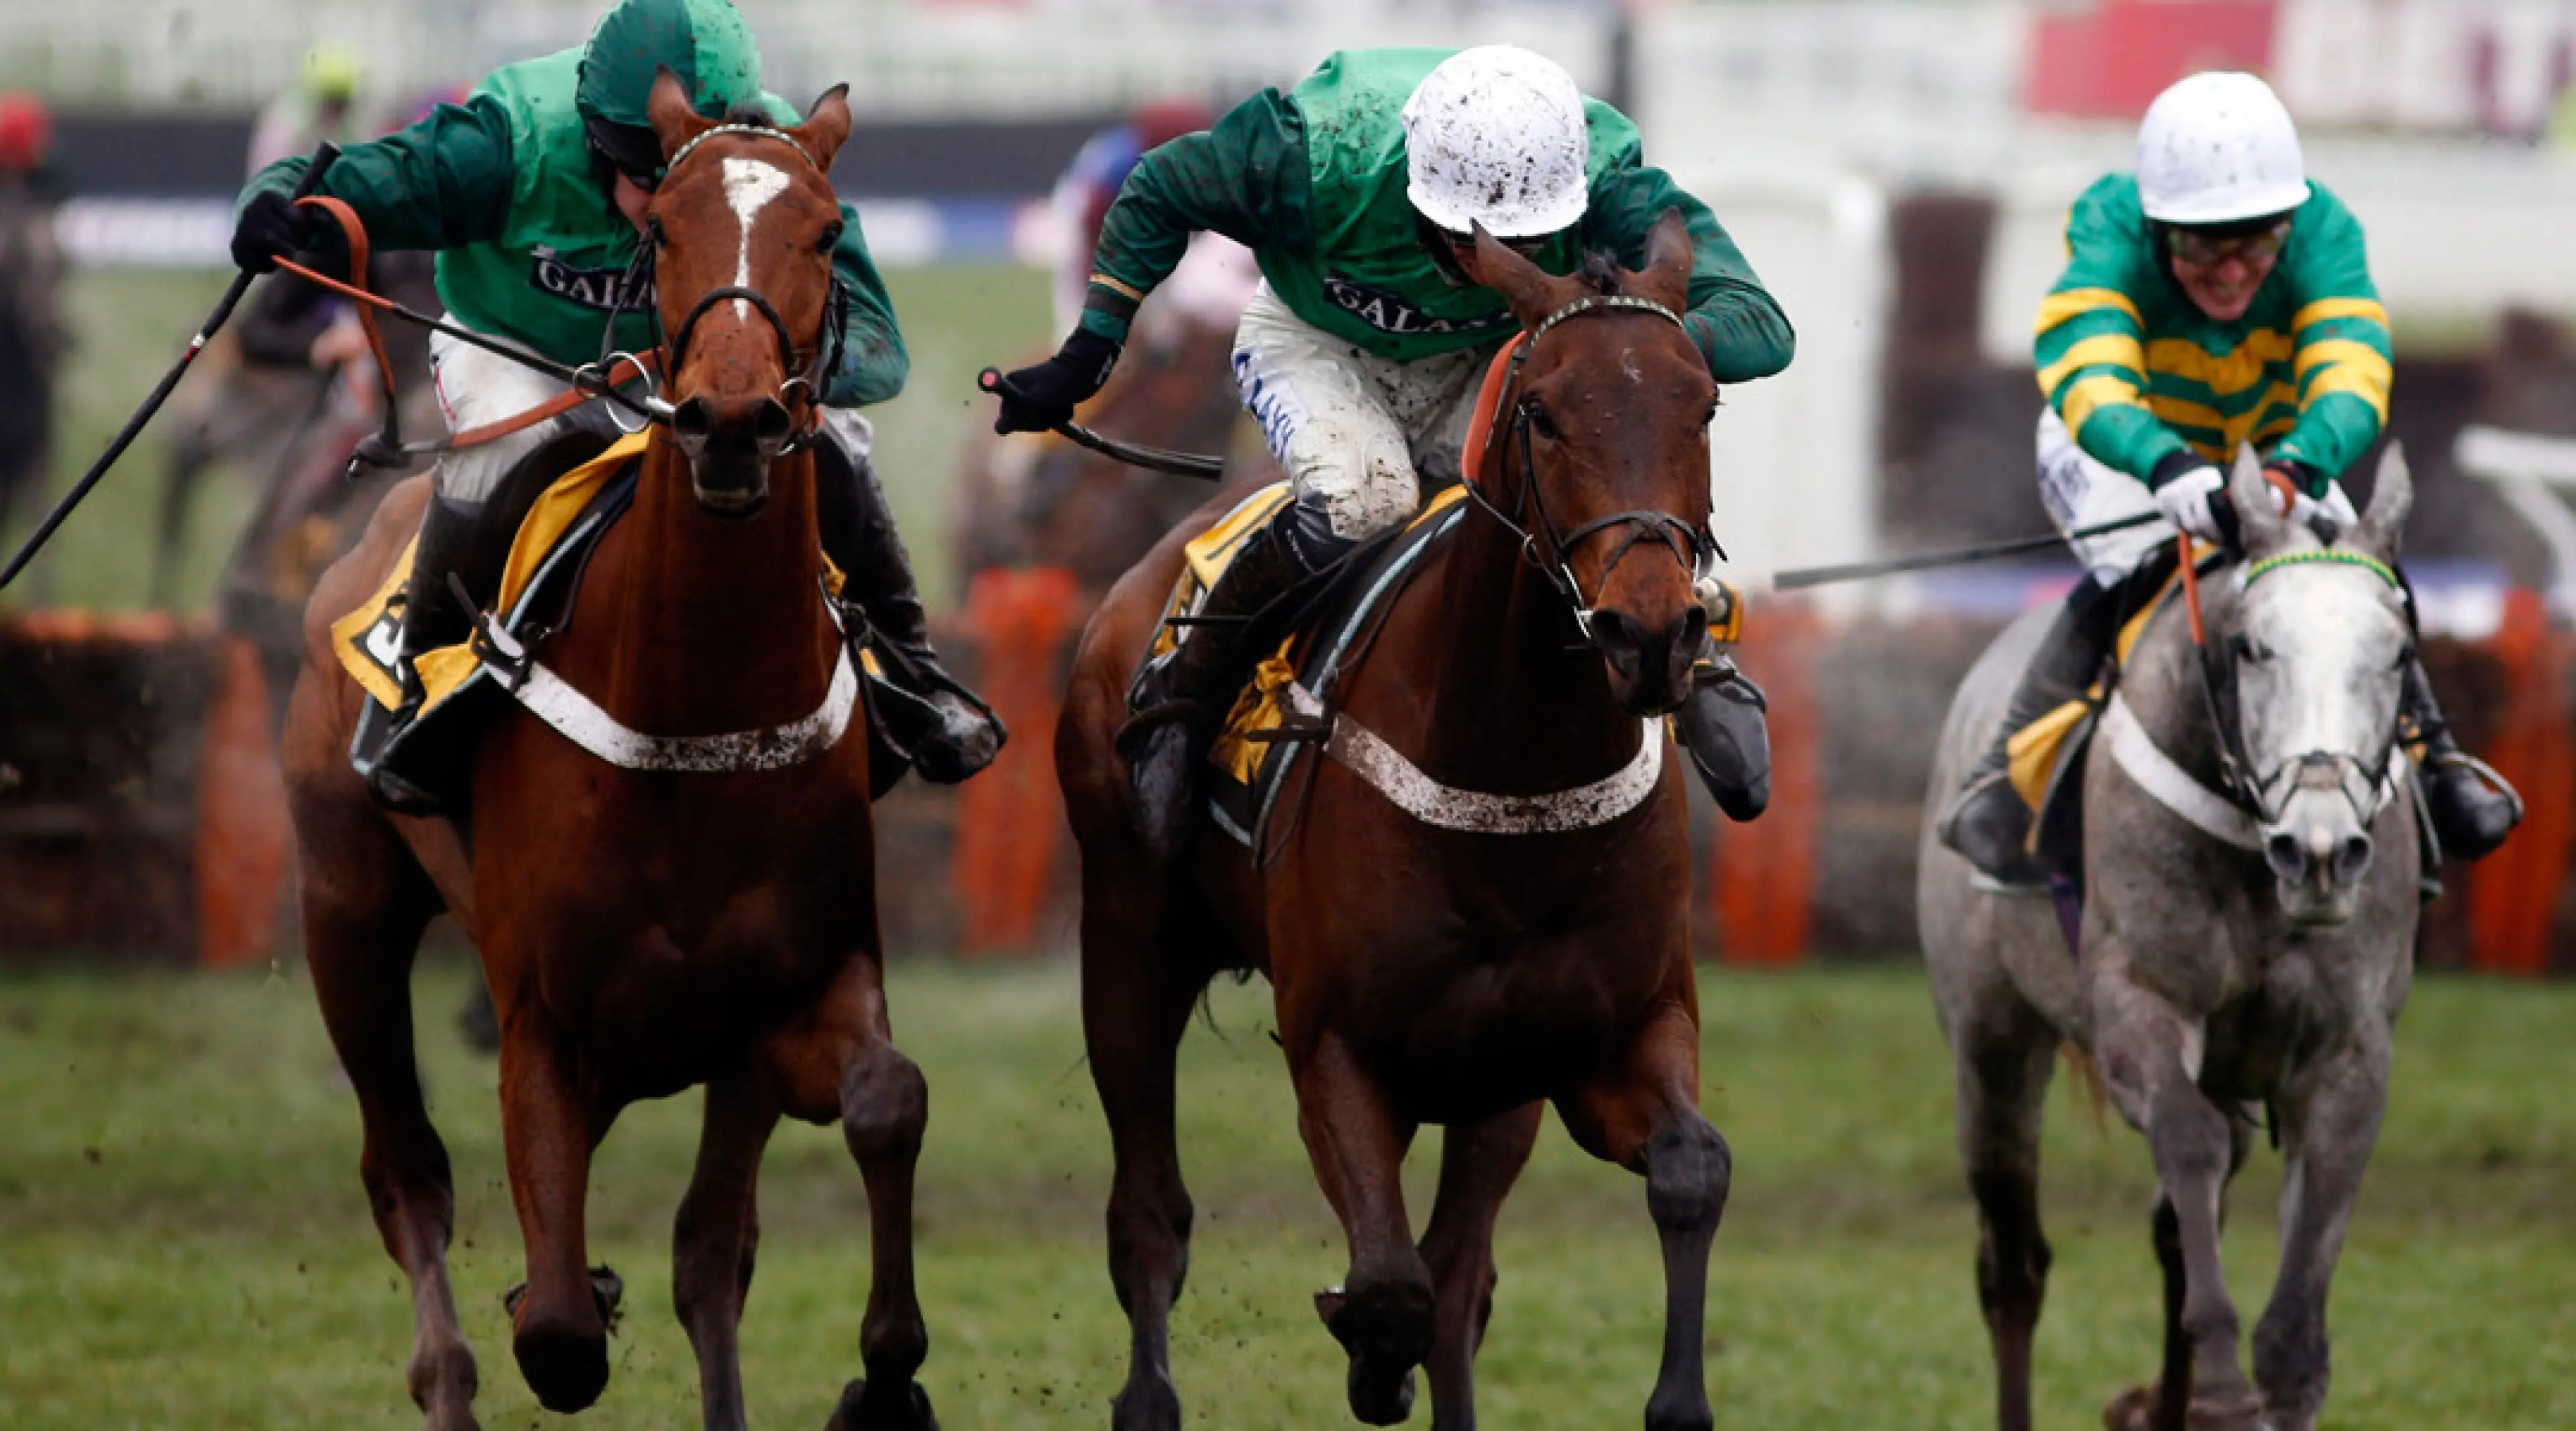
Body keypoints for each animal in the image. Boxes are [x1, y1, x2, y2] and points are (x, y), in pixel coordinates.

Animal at [284, 75, 948, 1431]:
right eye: (667, 231)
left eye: (824, 232)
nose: (733, 420)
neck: (693, 711)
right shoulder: (544, 1024)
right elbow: (557, 1331)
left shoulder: (784, 997)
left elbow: (875, 1108)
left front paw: (884, 1378)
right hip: (347, 912)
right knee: (408, 1174)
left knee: (706, 1250)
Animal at [1056, 215, 1741, 1431]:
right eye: (1541, 410)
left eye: (1701, 402)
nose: (1652, 631)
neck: (1514, 774)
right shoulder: (1336, 1046)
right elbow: (1384, 1282)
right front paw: (1371, 1357)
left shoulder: (1605, 1031)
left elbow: (1689, 1169)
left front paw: (1676, 1397)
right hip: (1131, 943)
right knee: (1150, 1216)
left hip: (1491, 1081)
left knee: (1461, 1269)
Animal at [1927, 448, 2421, 1431]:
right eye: (2252, 646)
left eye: (2397, 652)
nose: (2320, 852)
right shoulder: (2138, 1005)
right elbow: (2185, 1137)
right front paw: (2222, 1383)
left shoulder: (2349, 1053)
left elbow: (2296, 1332)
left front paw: (2228, 1385)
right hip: (1990, 1042)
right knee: (2013, 1264)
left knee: (2176, 1225)